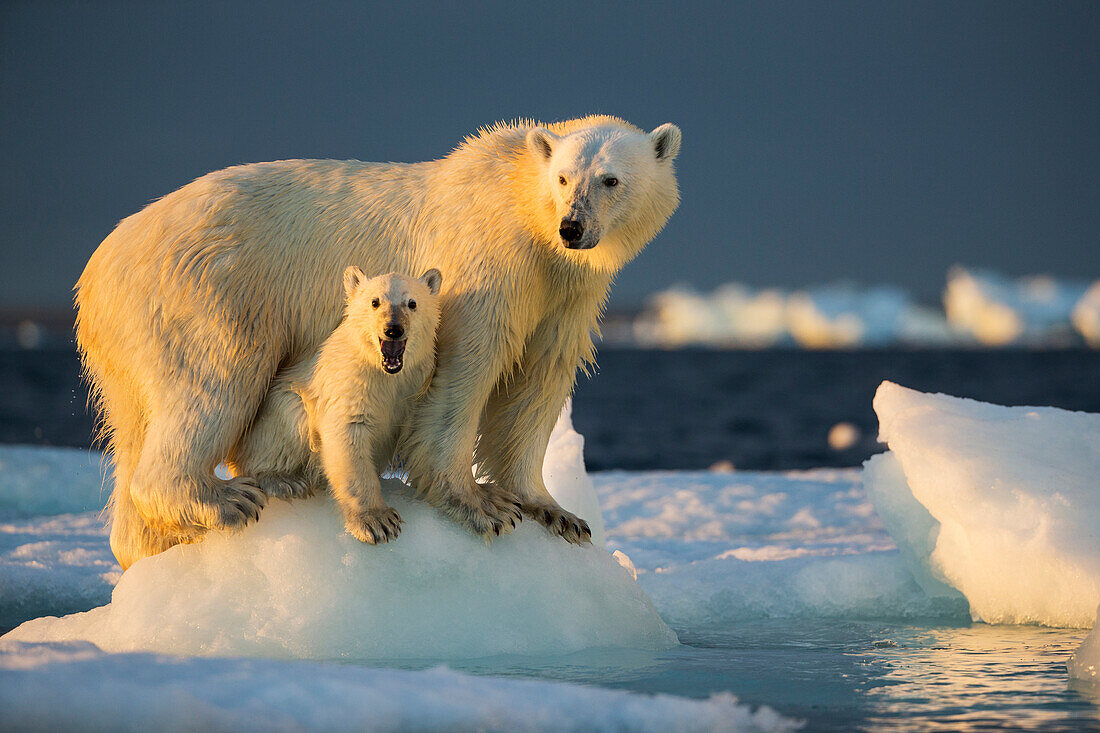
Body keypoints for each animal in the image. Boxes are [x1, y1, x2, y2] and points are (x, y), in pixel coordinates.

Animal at [77, 117, 677, 567]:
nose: (572, 228)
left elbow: (541, 380)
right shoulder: (486, 266)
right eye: (563, 178)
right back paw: (227, 498)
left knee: (138, 423)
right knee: (214, 380)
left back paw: (153, 544)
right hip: (205, 290)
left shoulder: (566, 291)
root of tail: (99, 268)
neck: (522, 211)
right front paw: (479, 504)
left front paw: (557, 512)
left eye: (610, 179)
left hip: (131, 341)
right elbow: (467, 367)